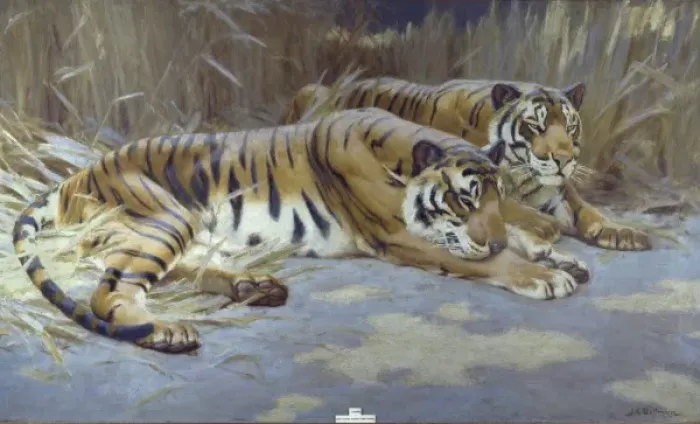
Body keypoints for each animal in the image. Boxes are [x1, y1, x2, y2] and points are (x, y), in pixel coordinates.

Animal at [12, 107, 589, 354]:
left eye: (497, 196)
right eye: (465, 199)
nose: (494, 233)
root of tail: (76, 175)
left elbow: (513, 237)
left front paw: (559, 254)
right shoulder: (400, 235)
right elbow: (488, 259)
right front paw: (543, 273)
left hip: (185, 227)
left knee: (170, 269)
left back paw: (254, 286)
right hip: (166, 216)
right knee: (110, 290)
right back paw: (167, 331)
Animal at [282, 77, 651, 252]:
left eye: (571, 126)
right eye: (536, 125)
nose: (563, 159)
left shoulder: (558, 189)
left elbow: (586, 208)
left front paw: (622, 232)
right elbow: (504, 202)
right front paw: (543, 225)